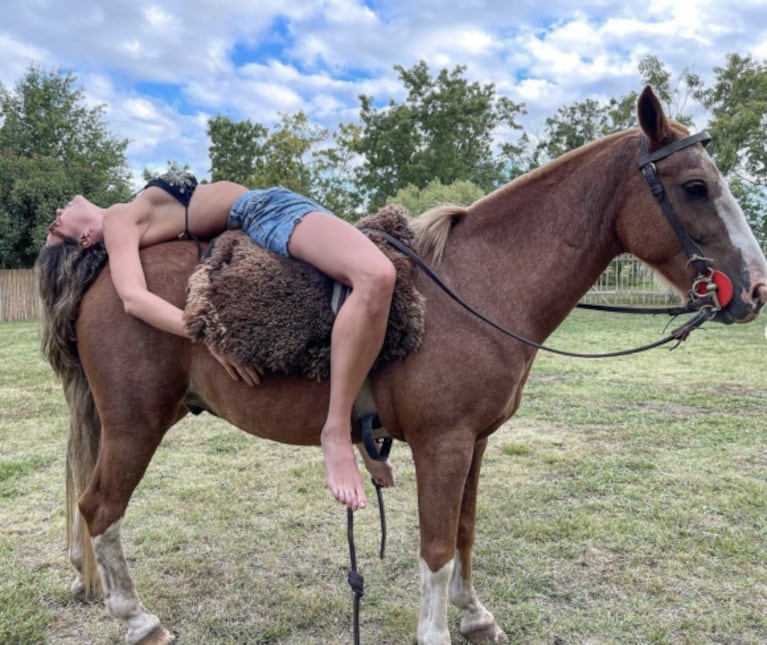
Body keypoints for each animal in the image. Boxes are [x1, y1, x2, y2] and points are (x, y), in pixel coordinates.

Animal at [34, 87, 767, 644]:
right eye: (695, 186)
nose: (755, 288)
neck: (479, 285)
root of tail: (103, 271)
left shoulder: (473, 443)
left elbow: (464, 533)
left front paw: (475, 616)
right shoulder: (443, 444)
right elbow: (436, 549)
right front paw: (440, 629)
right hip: (135, 423)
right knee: (100, 507)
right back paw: (139, 619)